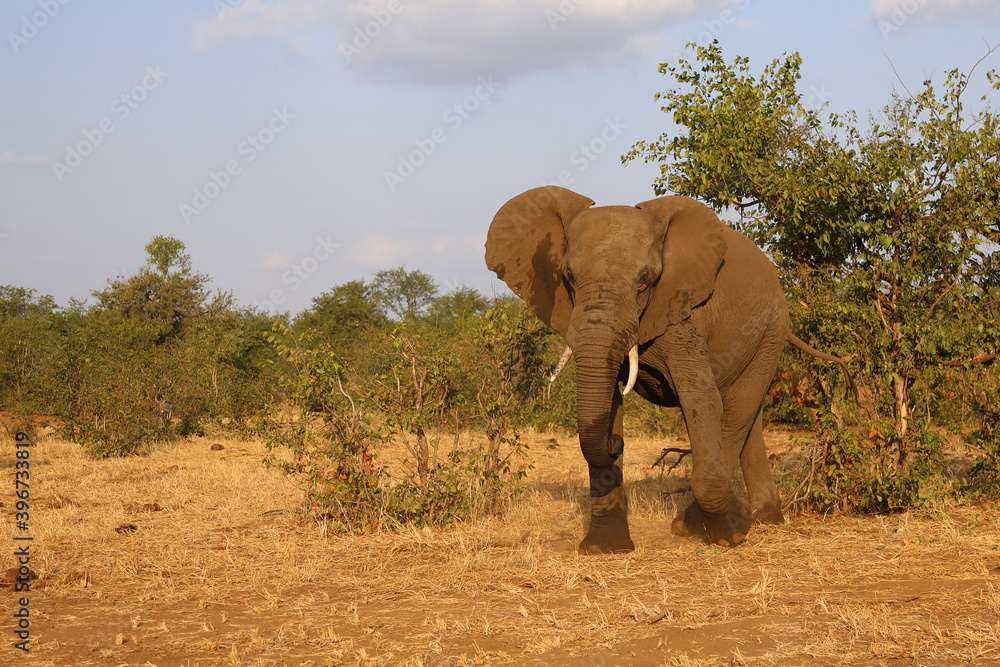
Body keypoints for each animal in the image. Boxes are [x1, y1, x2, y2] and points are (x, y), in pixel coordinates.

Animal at [485, 186, 851, 554]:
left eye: (645, 279)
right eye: (569, 277)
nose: (615, 443)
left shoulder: (685, 313)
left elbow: (701, 401)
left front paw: (729, 535)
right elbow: (608, 404)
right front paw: (606, 549)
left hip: (772, 331)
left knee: (736, 412)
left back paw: (699, 526)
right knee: (751, 415)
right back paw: (766, 519)